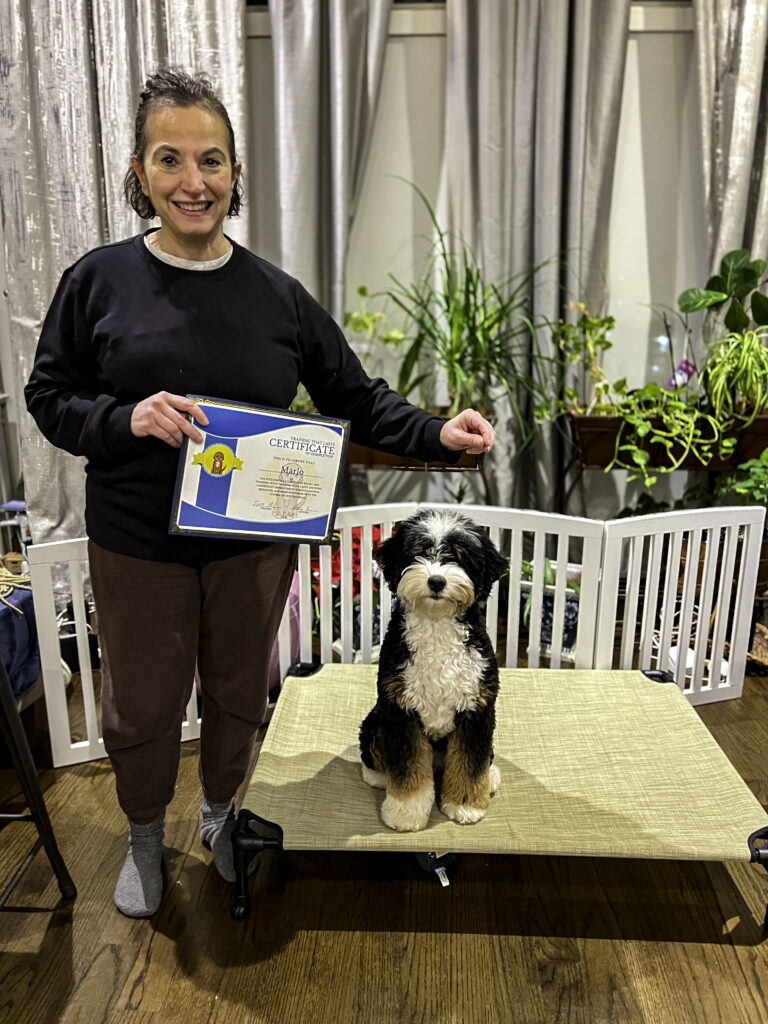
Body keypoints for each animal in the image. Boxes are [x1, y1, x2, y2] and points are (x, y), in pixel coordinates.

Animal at [360, 512, 507, 831]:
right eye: (418, 552)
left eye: (460, 556)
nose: (437, 581)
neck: (437, 625)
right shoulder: (399, 709)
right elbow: (407, 768)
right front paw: (405, 812)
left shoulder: (476, 709)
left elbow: (470, 763)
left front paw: (465, 805)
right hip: (376, 719)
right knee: (373, 752)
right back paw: (378, 776)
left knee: (484, 758)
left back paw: (490, 777)